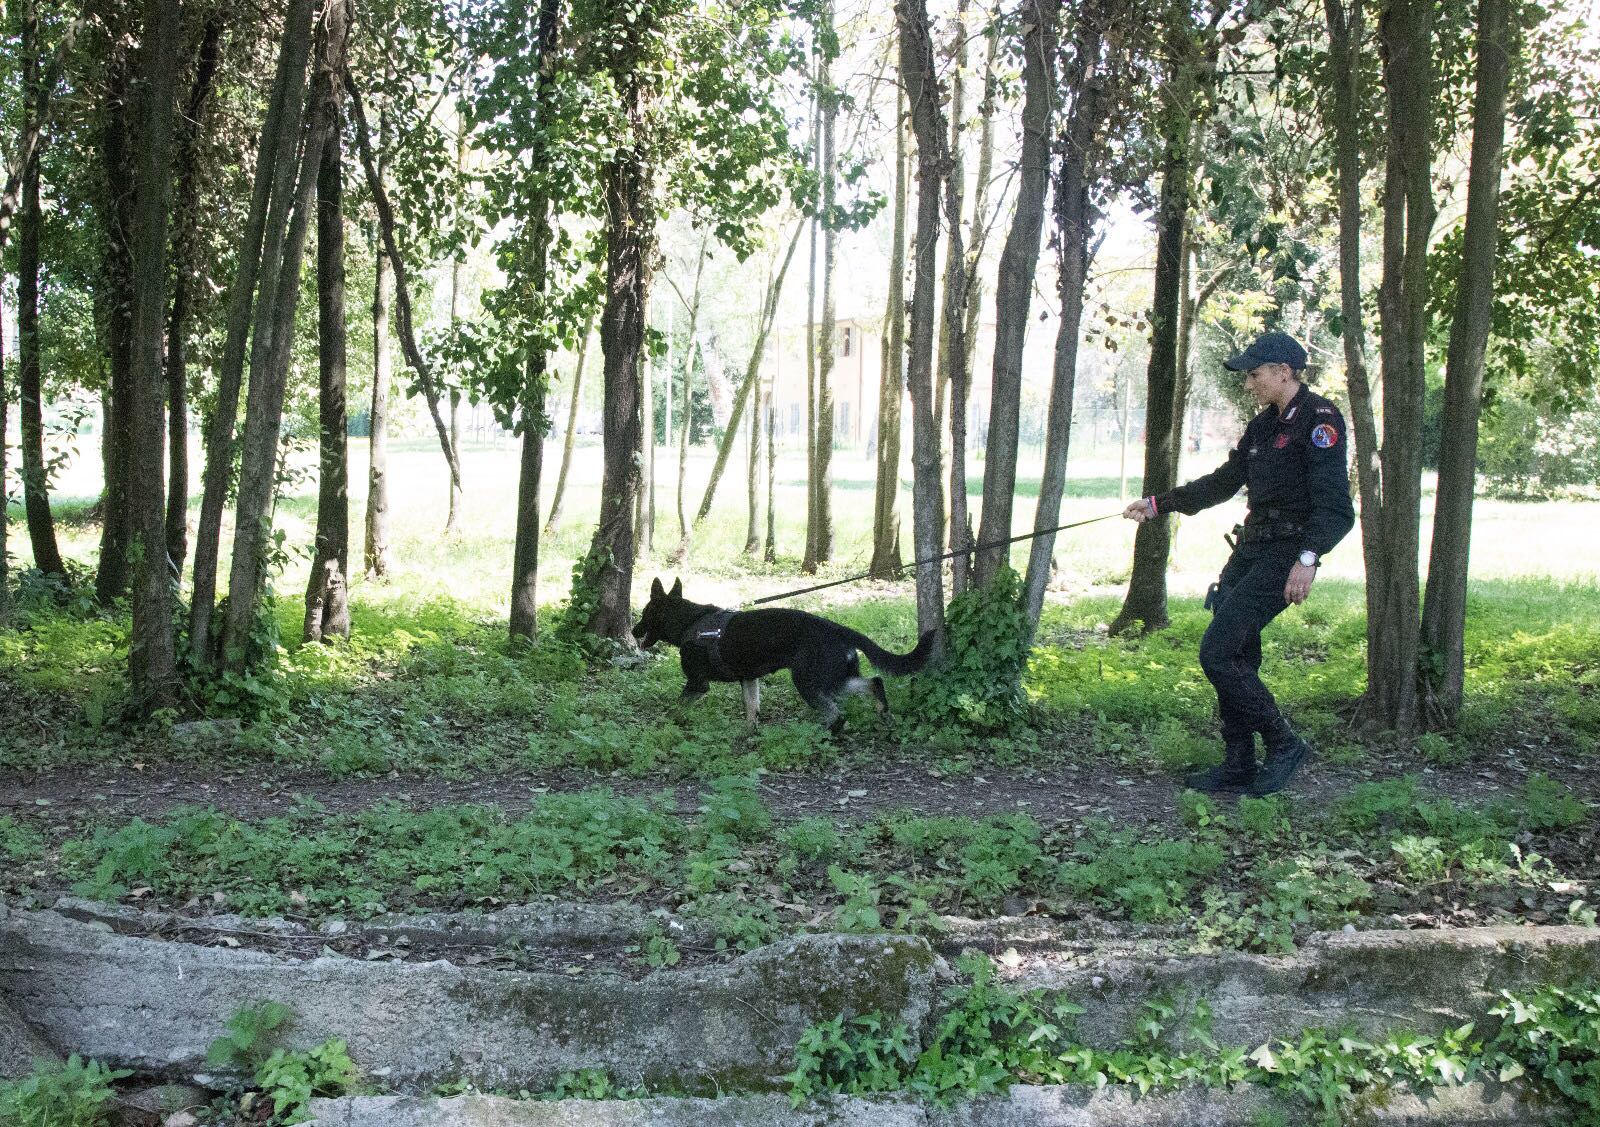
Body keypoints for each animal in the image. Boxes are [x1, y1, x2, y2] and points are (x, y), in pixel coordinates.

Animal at [633, 576, 934, 736]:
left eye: (645, 613)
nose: (634, 631)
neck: (689, 622)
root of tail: (838, 629)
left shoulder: (697, 684)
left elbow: (676, 709)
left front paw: (665, 725)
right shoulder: (749, 679)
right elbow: (751, 710)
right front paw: (749, 736)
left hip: (807, 682)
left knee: (837, 714)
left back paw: (822, 734)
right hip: (834, 679)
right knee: (874, 683)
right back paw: (883, 713)